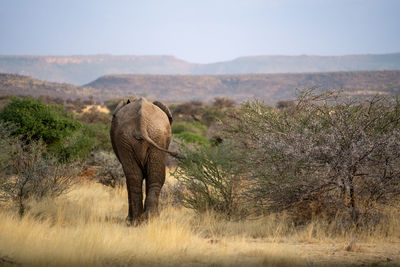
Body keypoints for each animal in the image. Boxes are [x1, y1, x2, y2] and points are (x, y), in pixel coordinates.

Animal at [110, 97, 177, 225]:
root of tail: (141, 123)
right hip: (141, 137)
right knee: (145, 177)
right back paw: (147, 220)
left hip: (148, 136)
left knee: (136, 177)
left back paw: (140, 220)